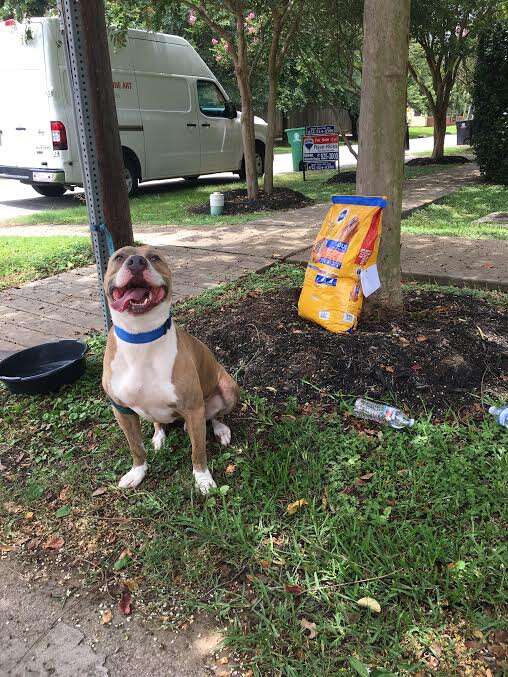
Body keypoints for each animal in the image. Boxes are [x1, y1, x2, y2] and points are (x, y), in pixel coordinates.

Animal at [102, 246, 240, 494]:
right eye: (119, 257)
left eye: (154, 257)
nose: (136, 261)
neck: (140, 336)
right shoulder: (122, 410)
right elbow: (135, 447)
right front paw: (137, 472)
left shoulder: (193, 407)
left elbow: (198, 451)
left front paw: (203, 479)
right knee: (158, 421)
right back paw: (159, 436)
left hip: (227, 388)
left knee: (215, 415)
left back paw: (220, 429)